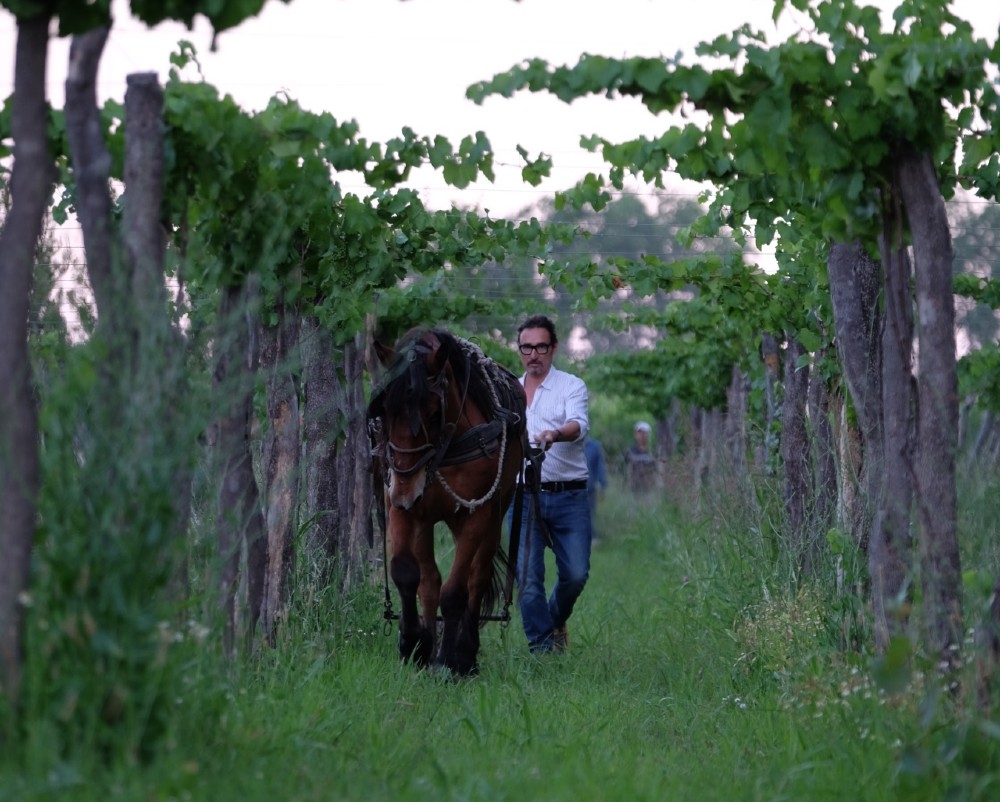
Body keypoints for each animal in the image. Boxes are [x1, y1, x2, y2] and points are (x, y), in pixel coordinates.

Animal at [370, 326, 532, 676]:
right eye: (384, 410)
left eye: (433, 413)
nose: (406, 488)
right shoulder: (403, 508)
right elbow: (407, 574)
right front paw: (413, 644)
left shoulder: (476, 514)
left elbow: (457, 590)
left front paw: (449, 661)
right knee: (430, 581)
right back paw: (429, 645)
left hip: (493, 515)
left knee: (477, 577)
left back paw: (464, 652)